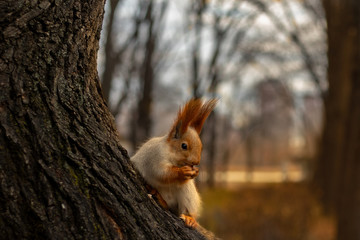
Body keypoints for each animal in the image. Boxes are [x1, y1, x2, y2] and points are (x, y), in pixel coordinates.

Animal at [131, 98, 217, 229]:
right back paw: (159, 198)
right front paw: (182, 172)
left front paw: (196, 172)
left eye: (201, 146)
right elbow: (162, 173)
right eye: (184, 146)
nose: (196, 162)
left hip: (187, 194)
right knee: (166, 204)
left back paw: (189, 218)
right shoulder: (155, 158)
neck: (172, 156)